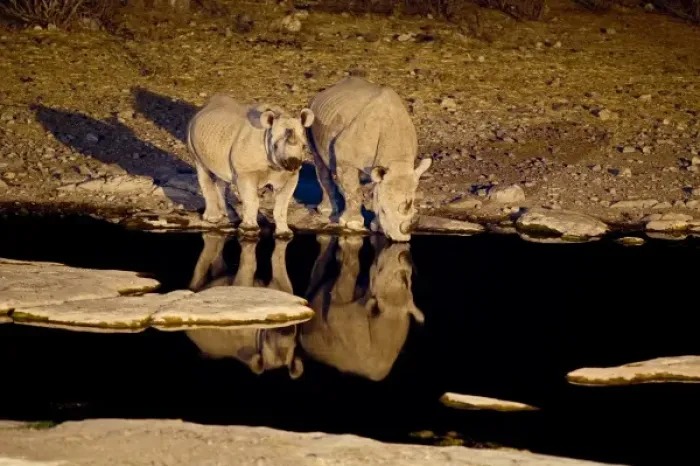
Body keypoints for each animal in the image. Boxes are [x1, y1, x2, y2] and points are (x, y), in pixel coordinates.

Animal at [187, 94, 314, 237]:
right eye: (275, 146)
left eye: (304, 146)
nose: (293, 163)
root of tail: (203, 108)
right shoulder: (246, 172)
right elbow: (252, 200)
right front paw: (249, 230)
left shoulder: (290, 175)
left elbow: (282, 204)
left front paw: (284, 233)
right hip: (191, 132)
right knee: (202, 167)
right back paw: (212, 219)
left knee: (222, 176)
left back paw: (229, 215)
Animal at [299, 235, 424, 381]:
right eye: (409, 281)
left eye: (380, 269)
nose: (405, 255)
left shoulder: (337, 316)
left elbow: (346, 279)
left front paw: (349, 246)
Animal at [306, 77, 432, 242]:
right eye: (384, 211)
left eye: (413, 212)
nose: (401, 239)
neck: (397, 162)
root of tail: (325, 91)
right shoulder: (346, 161)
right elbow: (353, 191)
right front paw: (353, 224)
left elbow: (376, 191)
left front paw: (376, 226)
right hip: (311, 111)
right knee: (319, 161)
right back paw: (327, 211)